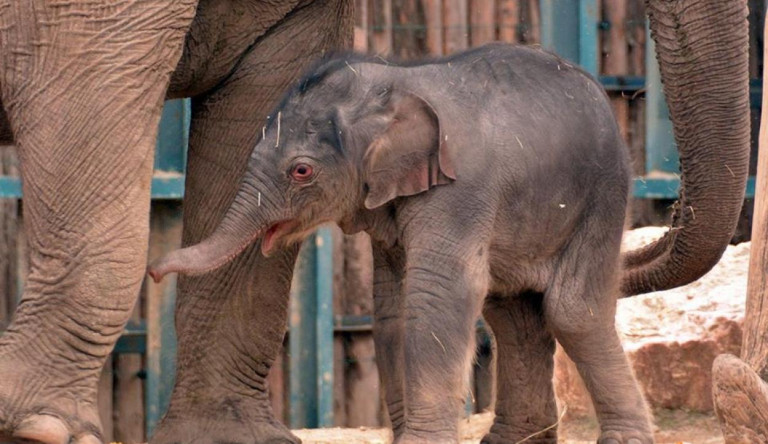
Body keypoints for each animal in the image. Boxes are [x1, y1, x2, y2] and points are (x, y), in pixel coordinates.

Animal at [153, 42, 652, 444]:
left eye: (301, 171)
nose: (155, 271)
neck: (393, 83)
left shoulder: (460, 191)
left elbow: (437, 294)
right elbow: (392, 306)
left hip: (604, 194)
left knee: (572, 310)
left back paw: (624, 438)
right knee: (513, 316)